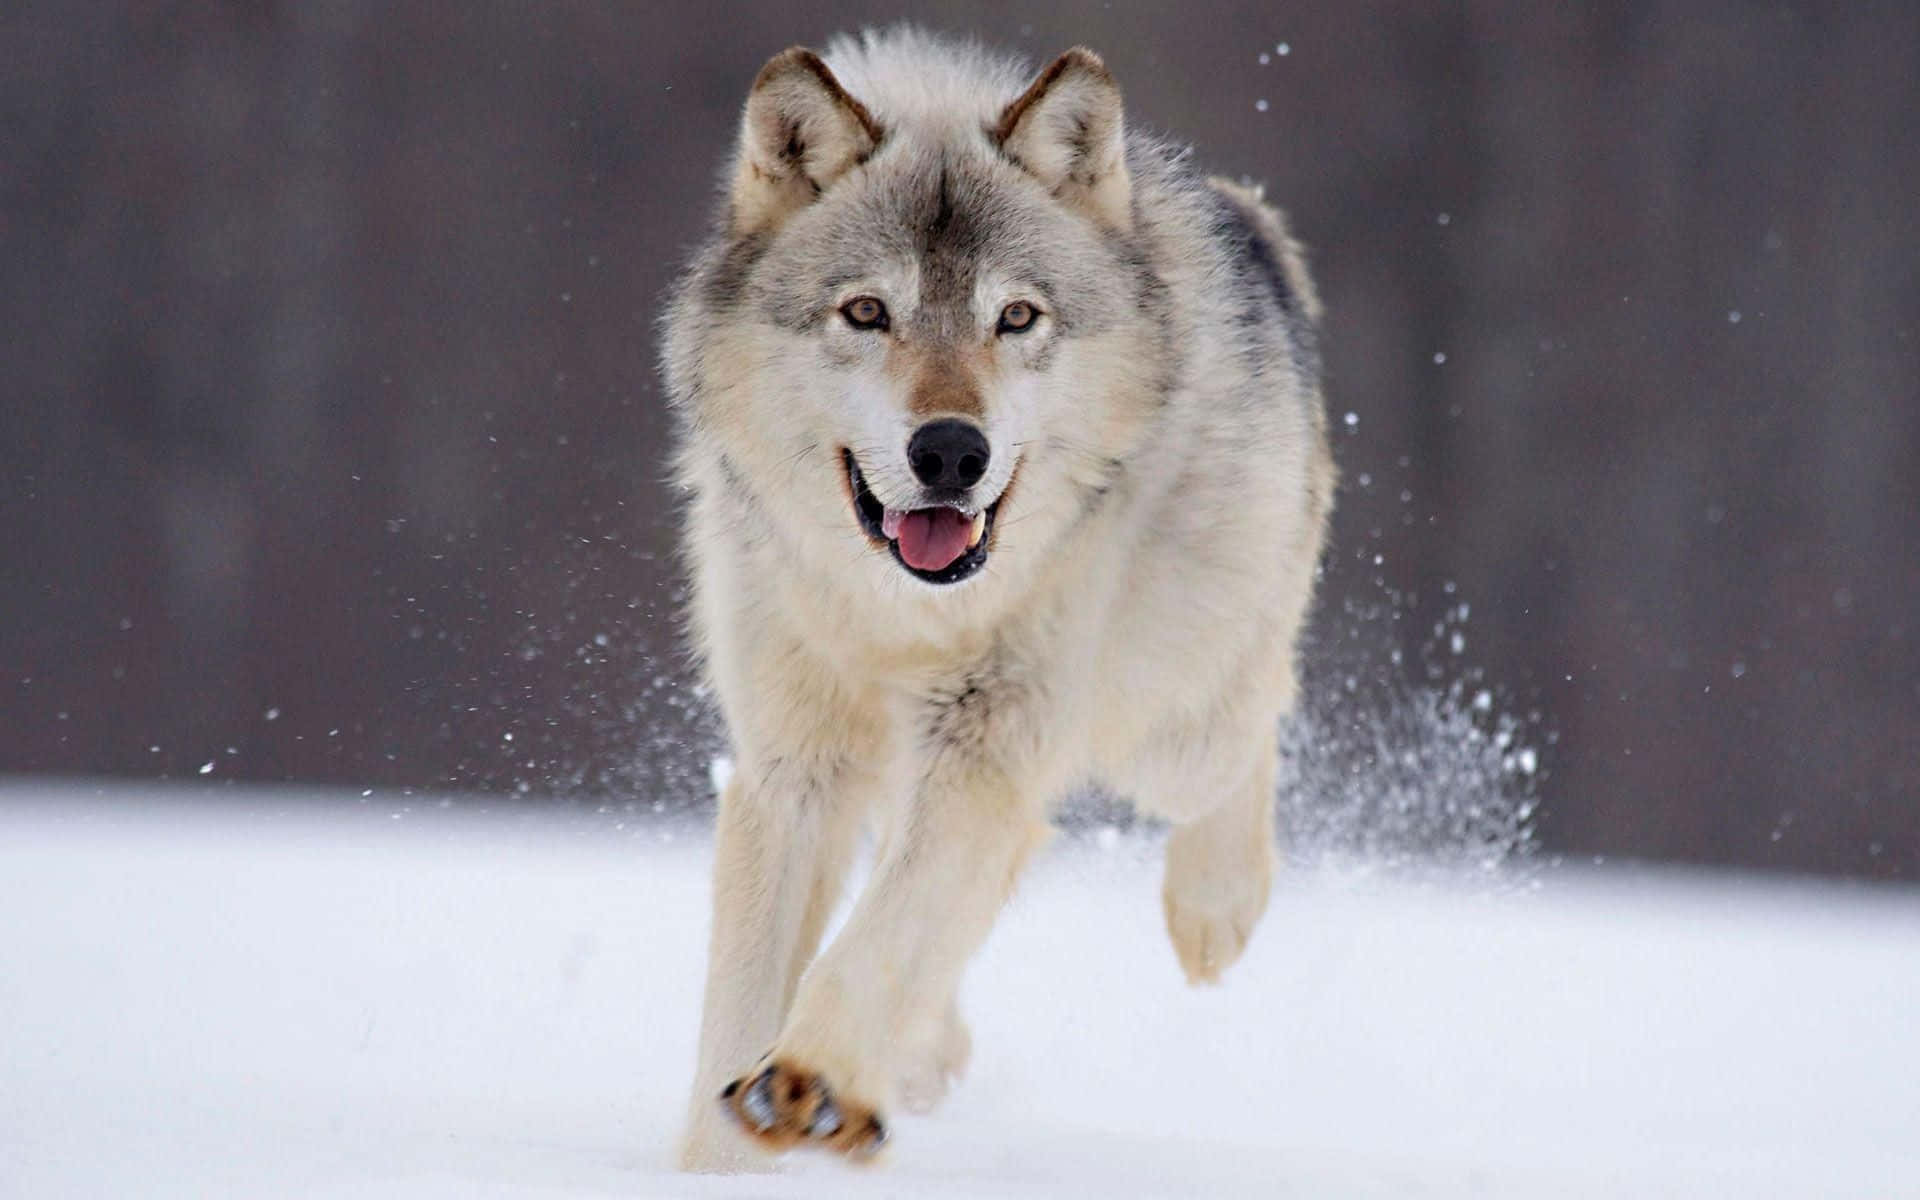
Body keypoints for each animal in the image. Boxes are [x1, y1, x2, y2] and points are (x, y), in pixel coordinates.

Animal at [662, 27, 1334, 1171]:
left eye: (1016, 317)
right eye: (867, 313)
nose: (950, 452)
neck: (900, 617)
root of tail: (1247, 221)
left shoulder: (987, 746)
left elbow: (879, 939)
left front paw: (811, 1080)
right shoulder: (792, 769)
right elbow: (745, 1005)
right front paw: (729, 1157)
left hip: (1166, 725)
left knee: (1252, 722)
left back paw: (1215, 910)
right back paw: (922, 1057)